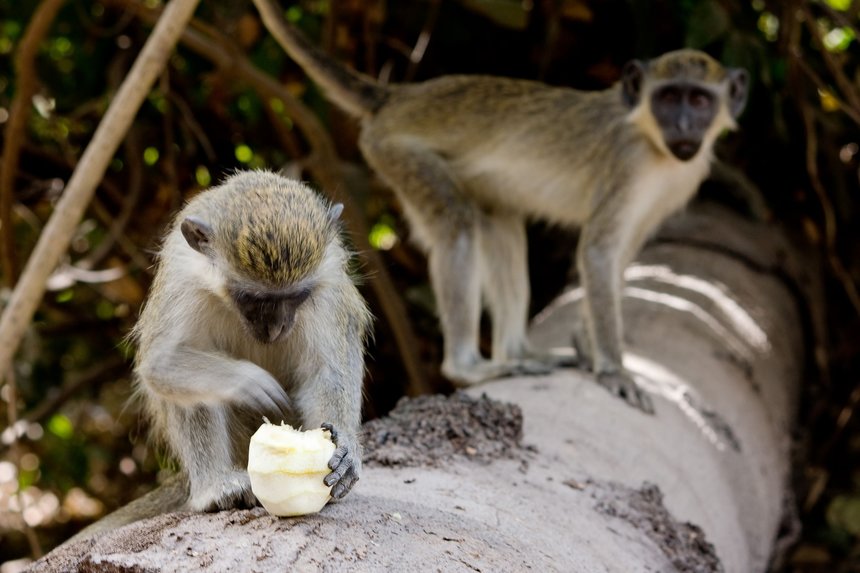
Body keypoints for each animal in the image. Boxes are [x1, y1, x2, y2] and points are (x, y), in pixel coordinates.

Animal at [252, 0, 744, 414]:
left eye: (699, 100)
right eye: (669, 98)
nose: (685, 126)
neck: (655, 144)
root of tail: (400, 98)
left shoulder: (672, 186)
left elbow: (618, 259)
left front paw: (588, 345)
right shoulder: (628, 164)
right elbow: (599, 253)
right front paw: (613, 368)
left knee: (501, 224)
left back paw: (517, 351)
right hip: (397, 150)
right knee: (457, 226)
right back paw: (469, 365)